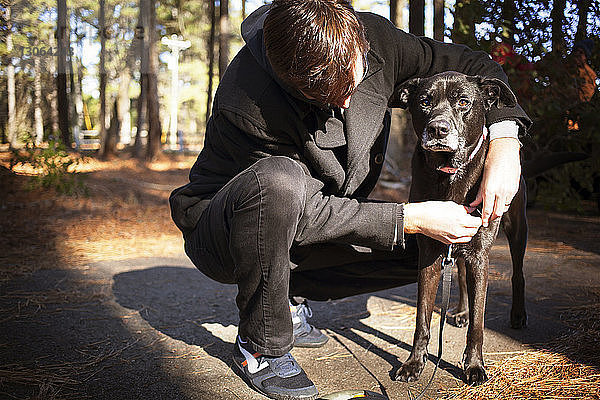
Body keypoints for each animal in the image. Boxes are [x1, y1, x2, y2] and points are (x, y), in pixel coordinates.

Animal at [392, 72, 528, 388]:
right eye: (424, 101)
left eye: (464, 102)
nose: (438, 129)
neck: (450, 173)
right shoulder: (431, 253)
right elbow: (422, 319)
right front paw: (414, 363)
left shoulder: (480, 255)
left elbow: (479, 324)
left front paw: (474, 366)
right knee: (464, 279)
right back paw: (462, 311)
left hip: (517, 230)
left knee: (517, 273)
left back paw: (518, 314)